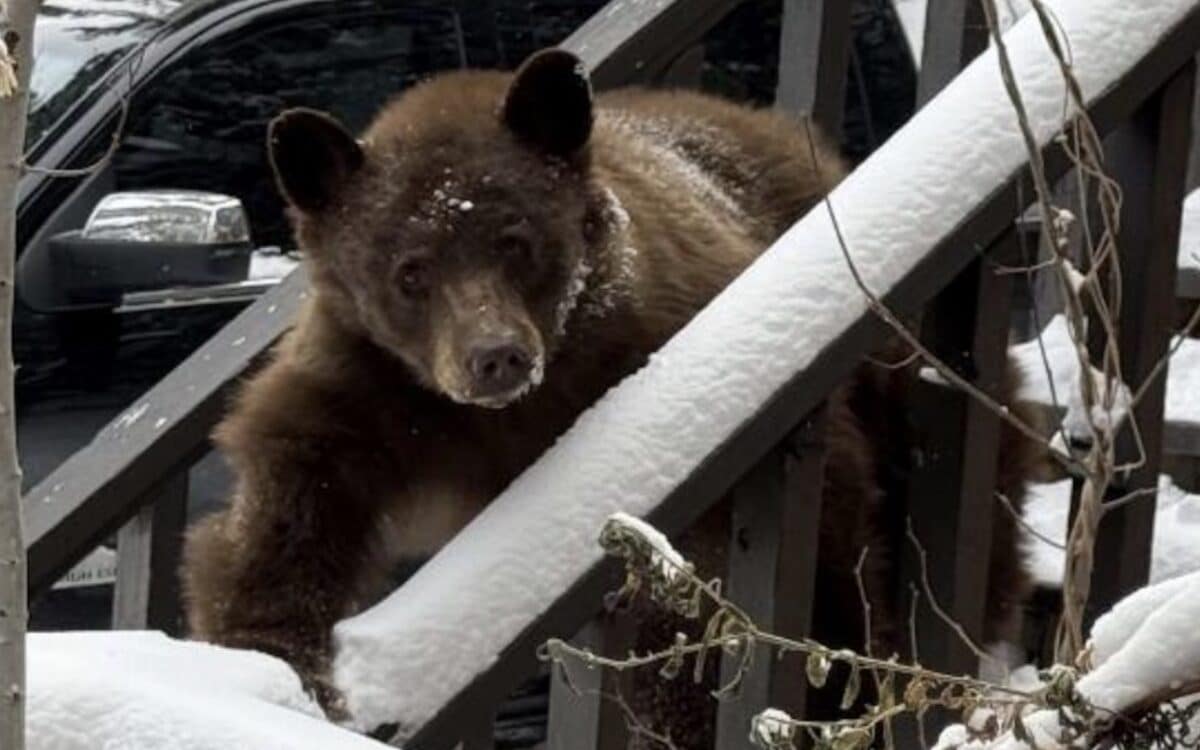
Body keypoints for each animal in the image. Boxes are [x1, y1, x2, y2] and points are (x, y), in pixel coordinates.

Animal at [181, 47, 1036, 734]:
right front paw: (275, 662)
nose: (496, 357)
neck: (504, 420)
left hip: (891, 344)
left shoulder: (653, 356)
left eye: (516, 240)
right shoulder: (369, 385)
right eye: (410, 270)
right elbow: (282, 504)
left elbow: (727, 578)